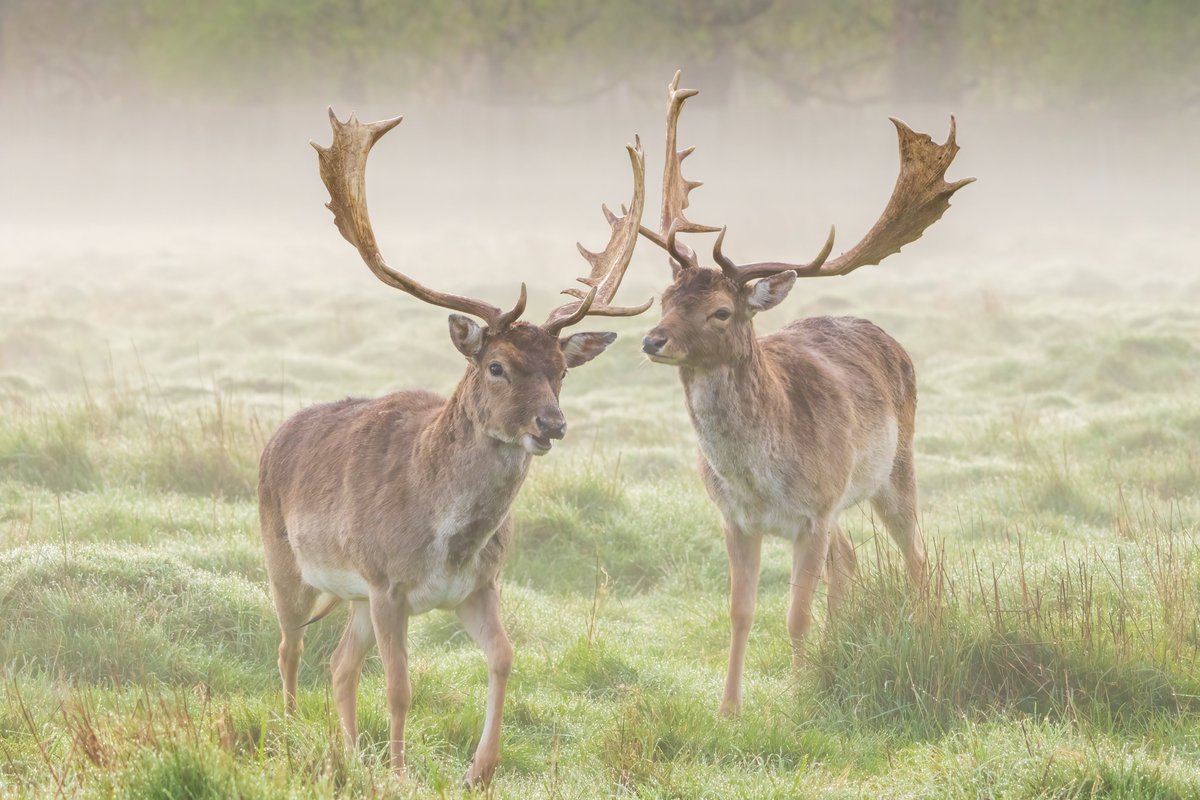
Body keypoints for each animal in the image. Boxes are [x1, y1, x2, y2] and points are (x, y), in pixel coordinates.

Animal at [259, 107, 652, 786]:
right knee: (289, 647)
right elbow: (399, 687)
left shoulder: (477, 585)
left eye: (561, 370)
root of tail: (275, 438)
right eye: (496, 365)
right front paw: (398, 773)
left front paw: (480, 770)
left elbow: (504, 657)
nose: (552, 423)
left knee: (338, 663)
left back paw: (349, 753)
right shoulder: (387, 582)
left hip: (352, 597)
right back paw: (288, 740)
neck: (443, 540)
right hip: (285, 561)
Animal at [643, 71, 969, 714]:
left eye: (721, 311)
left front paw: (798, 697)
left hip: (895, 469)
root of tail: (884, 333)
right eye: (665, 298)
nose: (653, 339)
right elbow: (741, 612)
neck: (758, 477)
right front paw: (729, 708)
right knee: (850, 559)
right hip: (842, 501)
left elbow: (796, 615)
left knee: (915, 555)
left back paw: (923, 629)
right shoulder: (736, 518)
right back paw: (841, 646)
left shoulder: (813, 512)